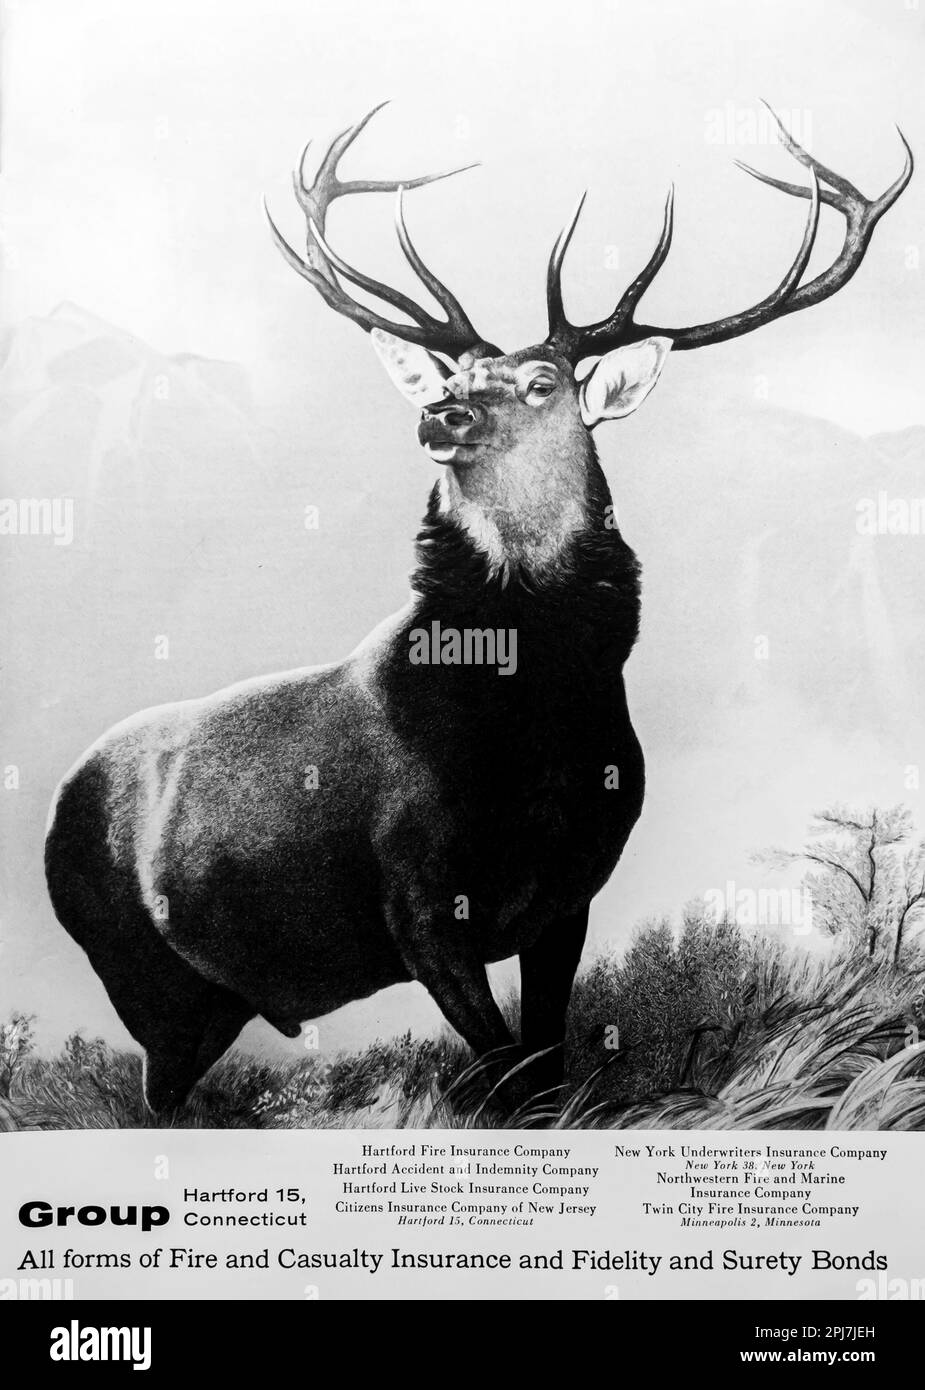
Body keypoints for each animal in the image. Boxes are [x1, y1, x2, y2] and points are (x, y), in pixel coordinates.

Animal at [45, 102, 906, 1112]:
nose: (442, 414)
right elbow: (509, 1081)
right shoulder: (417, 903)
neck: (536, 729)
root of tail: (56, 802)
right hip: (140, 973)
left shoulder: (570, 895)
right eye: (454, 379)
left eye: (542, 384)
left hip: (210, 996)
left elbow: (548, 1067)